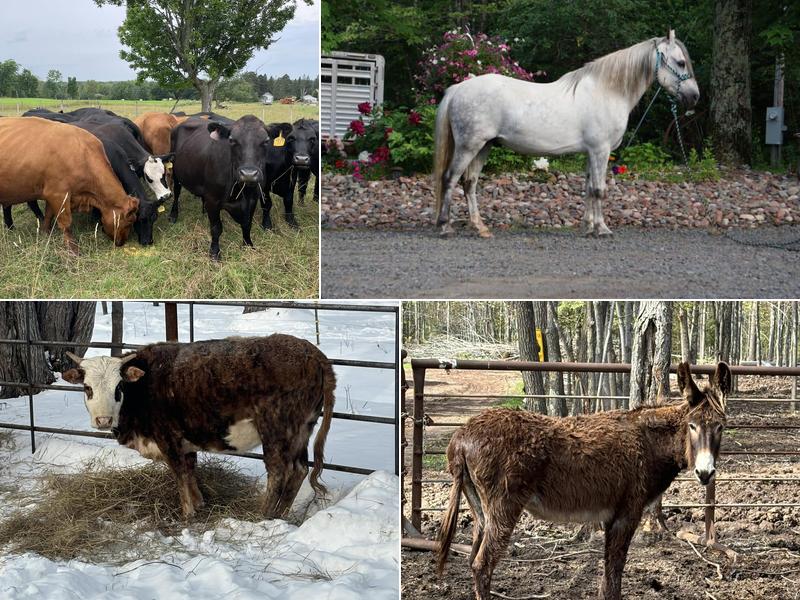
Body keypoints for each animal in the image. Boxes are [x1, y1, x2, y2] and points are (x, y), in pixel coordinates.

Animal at [0, 117, 139, 253]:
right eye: (130, 221)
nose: (121, 243)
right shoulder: (58, 195)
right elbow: (66, 224)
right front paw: (73, 250)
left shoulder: (53, 196)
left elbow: (49, 215)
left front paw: (46, 233)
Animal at [62, 334, 336, 520]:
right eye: (87, 387)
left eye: (118, 387)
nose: (104, 420)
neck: (145, 384)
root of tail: (313, 354)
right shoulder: (185, 442)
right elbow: (190, 470)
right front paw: (199, 503)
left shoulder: (167, 438)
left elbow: (179, 472)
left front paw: (187, 512)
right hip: (302, 429)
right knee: (300, 469)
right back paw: (280, 514)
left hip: (276, 430)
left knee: (279, 471)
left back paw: (263, 514)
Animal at [170, 115, 273, 260]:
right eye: (232, 140)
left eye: (266, 141)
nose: (248, 174)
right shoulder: (213, 200)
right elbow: (216, 228)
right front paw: (214, 252)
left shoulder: (253, 198)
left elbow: (247, 224)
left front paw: (248, 245)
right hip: (175, 171)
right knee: (176, 192)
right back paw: (173, 214)